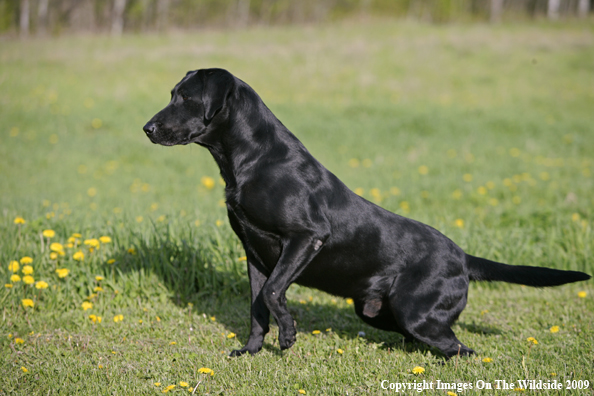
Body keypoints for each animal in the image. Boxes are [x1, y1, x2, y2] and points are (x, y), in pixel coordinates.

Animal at [142, 68, 588, 358]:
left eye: (186, 98)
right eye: (171, 93)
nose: (147, 128)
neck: (252, 159)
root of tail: (464, 257)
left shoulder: (306, 237)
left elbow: (272, 294)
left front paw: (288, 336)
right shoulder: (254, 252)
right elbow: (256, 306)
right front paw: (250, 352)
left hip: (415, 312)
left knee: (462, 348)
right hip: (379, 312)